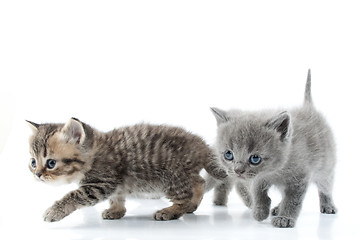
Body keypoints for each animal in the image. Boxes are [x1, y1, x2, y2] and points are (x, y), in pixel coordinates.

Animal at [26, 119, 226, 222]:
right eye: (33, 162)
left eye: (51, 163)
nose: (38, 175)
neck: (94, 152)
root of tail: (201, 145)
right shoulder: (115, 185)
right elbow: (117, 197)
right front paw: (116, 211)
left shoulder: (101, 183)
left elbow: (74, 195)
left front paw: (54, 211)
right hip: (184, 174)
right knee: (199, 181)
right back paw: (193, 204)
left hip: (172, 177)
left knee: (184, 194)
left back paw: (172, 211)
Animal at [207, 70, 336, 228]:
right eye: (228, 155)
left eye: (255, 158)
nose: (238, 171)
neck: (275, 171)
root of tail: (308, 107)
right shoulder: (257, 179)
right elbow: (258, 193)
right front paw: (260, 211)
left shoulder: (299, 179)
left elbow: (292, 200)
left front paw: (285, 218)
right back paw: (276, 208)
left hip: (326, 168)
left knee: (326, 187)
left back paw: (327, 205)